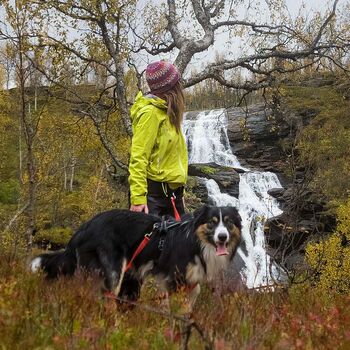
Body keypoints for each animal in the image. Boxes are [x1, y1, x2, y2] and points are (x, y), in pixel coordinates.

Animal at [31, 205, 242, 308]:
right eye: (212, 222)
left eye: (229, 223)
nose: (222, 237)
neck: (197, 243)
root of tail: (83, 228)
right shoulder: (174, 281)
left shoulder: (189, 283)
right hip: (113, 270)